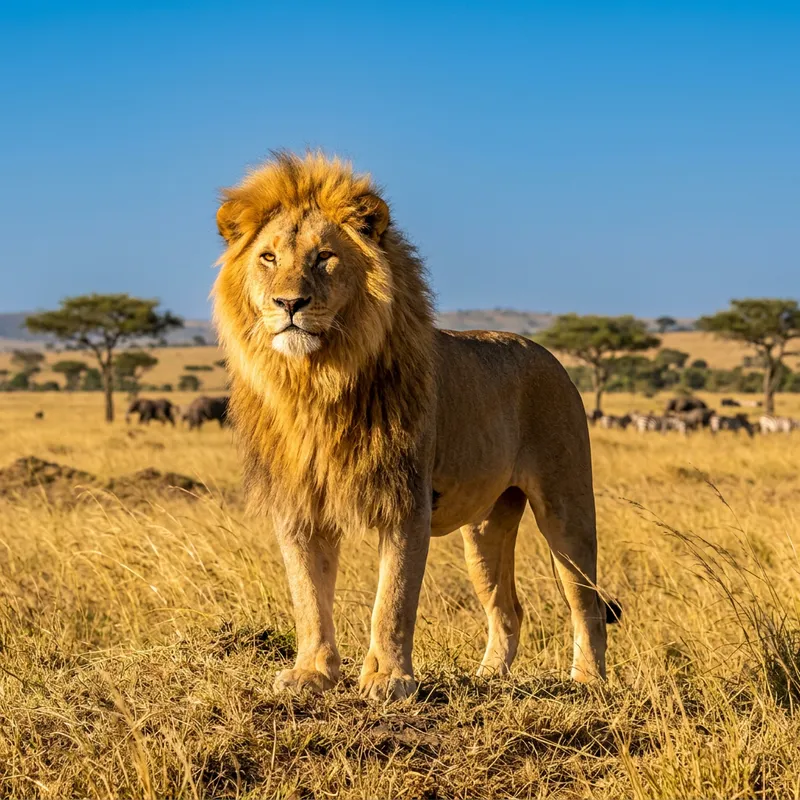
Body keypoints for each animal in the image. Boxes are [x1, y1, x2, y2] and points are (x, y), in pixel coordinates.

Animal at [213, 152, 619, 702]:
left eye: (324, 257)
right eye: (269, 258)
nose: (289, 304)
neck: (316, 382)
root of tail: (545, 352)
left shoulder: (406, 500)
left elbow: (394, 600)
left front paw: (387, 679)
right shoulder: (299, 506)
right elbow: (308, 597)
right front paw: (312, 673)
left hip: (566, 505)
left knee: (586, 603)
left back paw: (588, 682)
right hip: (485, 528)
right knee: (509, 609)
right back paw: (488, 676)